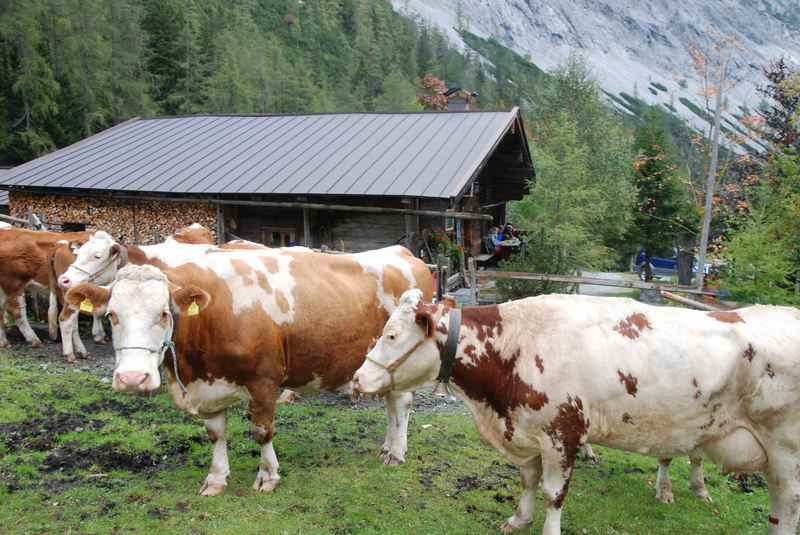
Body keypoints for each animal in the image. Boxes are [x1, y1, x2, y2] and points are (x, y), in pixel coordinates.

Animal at [66, 247, 434, 498]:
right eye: (111, 315)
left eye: (164, 313)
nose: (132, 379)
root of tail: (403, 253)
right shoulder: (209, 386)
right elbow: (215, 434)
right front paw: (216, 478)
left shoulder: (264, 380)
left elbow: (261, 431)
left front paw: (268, 476)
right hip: (381, 367)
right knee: (390, 405)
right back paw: (387, 447)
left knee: (401, 404)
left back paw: (396, 453)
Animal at [354, 292, 800, 535]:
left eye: (391, 335)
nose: (358, 378)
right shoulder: (527, 430)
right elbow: (527, 480)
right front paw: (519, 518)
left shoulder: (560, 432)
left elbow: (554, 493)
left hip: (786, 452)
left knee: (787, 507)